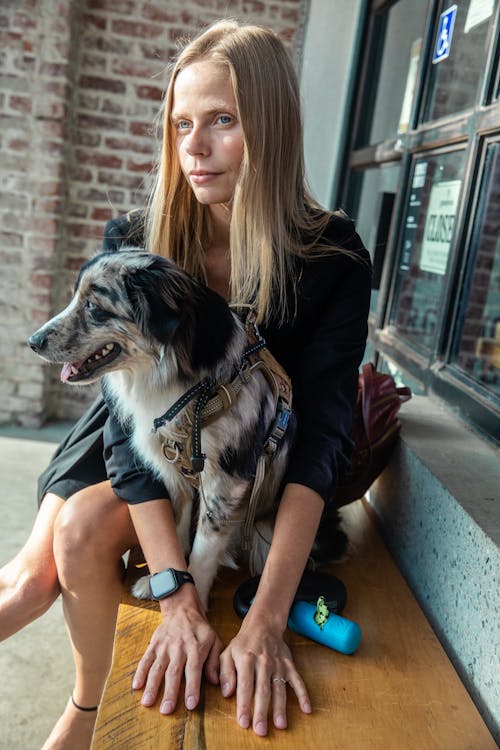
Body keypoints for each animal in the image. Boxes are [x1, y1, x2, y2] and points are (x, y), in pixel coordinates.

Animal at [28, 250, 300, 608]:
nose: (32, 341)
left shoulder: (225, 481)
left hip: (263, 533)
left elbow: (205, 548)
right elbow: (178, 521)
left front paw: (196, 598)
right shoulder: (173, 464)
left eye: (93, 306)